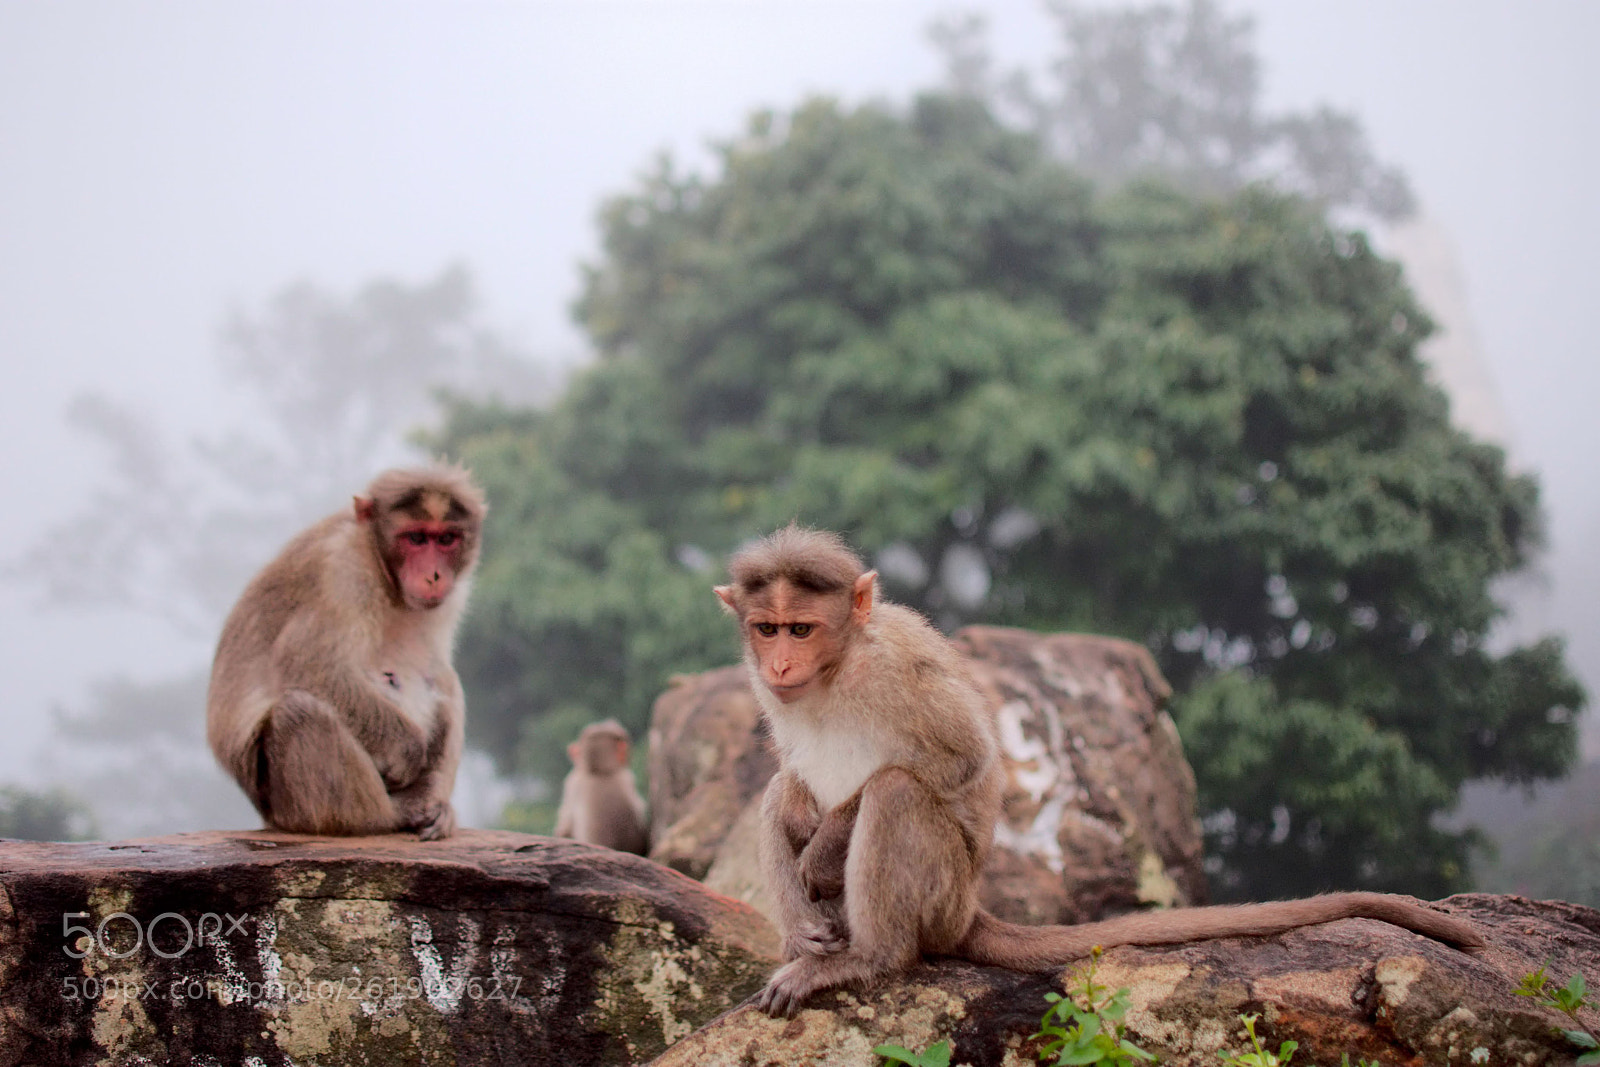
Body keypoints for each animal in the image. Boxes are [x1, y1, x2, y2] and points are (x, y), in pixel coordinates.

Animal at [206, 463, 486, 840]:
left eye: (445, 539)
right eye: (415, 538)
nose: (434, 576)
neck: (381, 570)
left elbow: (437, 674)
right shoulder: (341, 572)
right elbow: (310, 664)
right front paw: (408, 749)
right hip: (282, 803)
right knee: (298, 712)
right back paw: (385, 816)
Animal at [714, 525, 1485, 1018]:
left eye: (802, 628)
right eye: (766, 628)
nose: (779, 664)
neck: (837, 671)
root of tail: (970, 907)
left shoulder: (894, 666)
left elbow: (961, 760)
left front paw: (822, 853)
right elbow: (792, 775)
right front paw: (799, 892)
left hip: (941, 895)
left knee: (898, 792)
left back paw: (870, 956)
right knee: (785, 791)